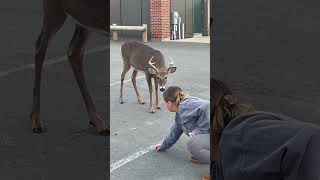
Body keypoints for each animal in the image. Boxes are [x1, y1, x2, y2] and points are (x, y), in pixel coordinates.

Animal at [30, 0, 110, 135]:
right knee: (40, 48)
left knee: (74, 52)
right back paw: (36, 120)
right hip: (54, 9)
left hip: (85, 18)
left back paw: (97, 121)